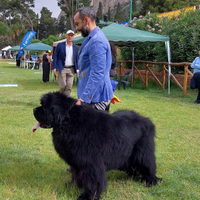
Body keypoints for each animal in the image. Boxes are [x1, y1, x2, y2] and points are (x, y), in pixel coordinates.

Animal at [32, 92, 161, 200]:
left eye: (44, 106)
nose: (33, 109)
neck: (70, 122)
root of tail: (147, 121)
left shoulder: (91, 163)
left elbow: (93, 181)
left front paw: (88, 196)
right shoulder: (77, 161)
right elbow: (76, 174)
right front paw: (74, 186)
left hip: (142, 153)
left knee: (148, 164)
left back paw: (152, 181)